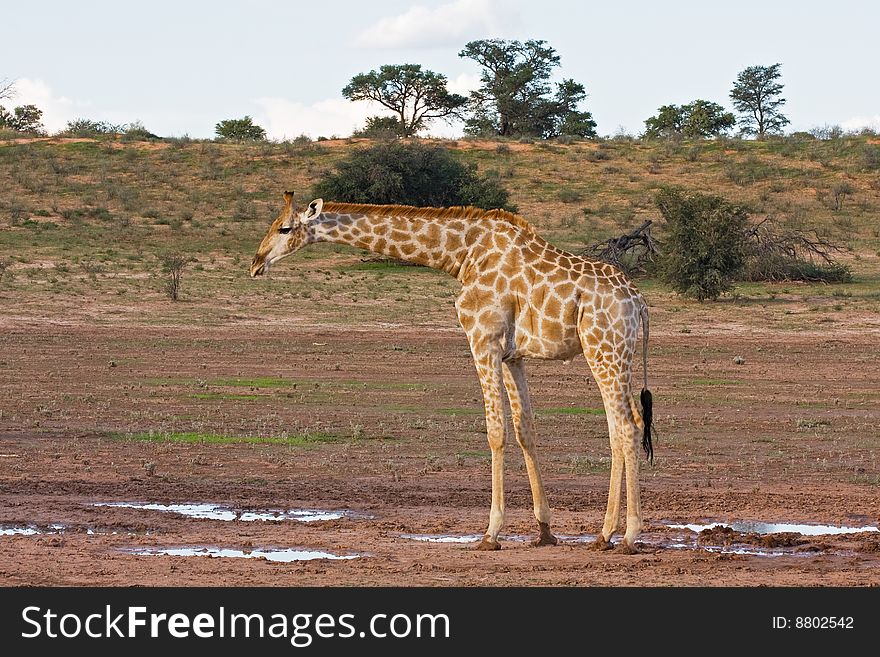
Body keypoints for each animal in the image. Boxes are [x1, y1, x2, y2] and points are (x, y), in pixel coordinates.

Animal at [251, 192, 648, 552]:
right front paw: (544, 530)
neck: (462, 255)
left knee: (627, 428)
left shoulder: (482, 340)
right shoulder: (512, 355)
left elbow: (496, 432)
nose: (255, 264)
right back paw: (605, 535)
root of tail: (638, 301)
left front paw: (491, 533)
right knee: (624, 427)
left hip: (604, 349)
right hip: (618, 356)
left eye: (284, 228)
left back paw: (625, 536)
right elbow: (525, 430)